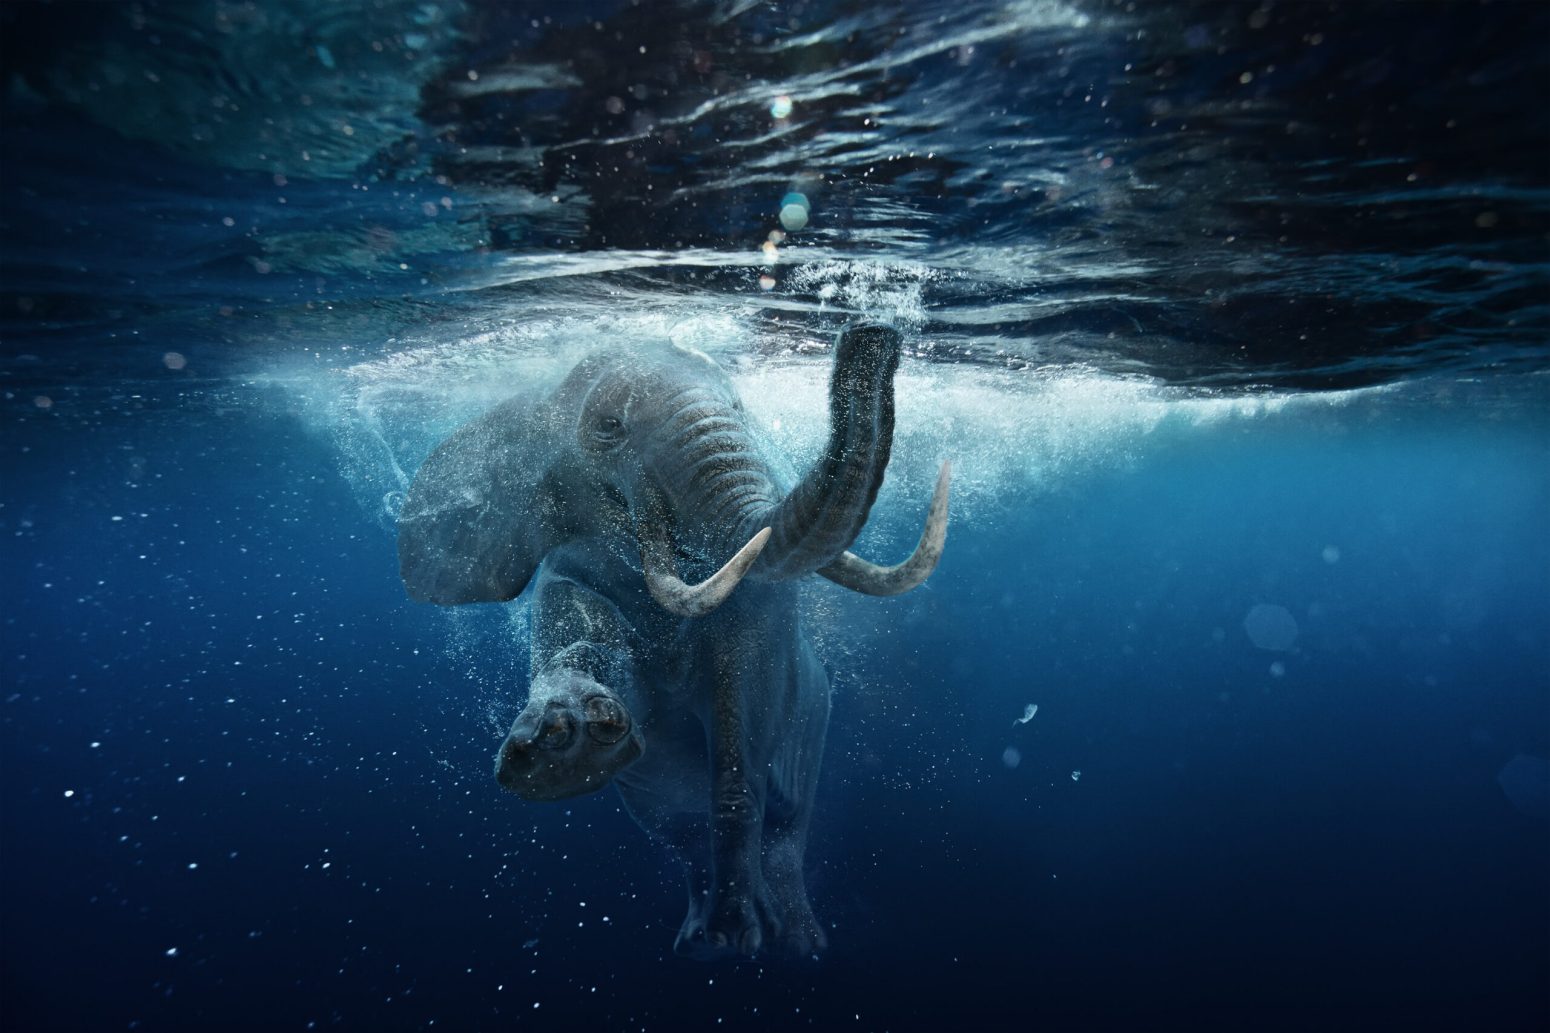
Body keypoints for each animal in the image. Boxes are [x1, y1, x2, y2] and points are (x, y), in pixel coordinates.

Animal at [396, 323, 949, 959]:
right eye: (609, 427)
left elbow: (738, 759)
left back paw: (789, 943)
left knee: (786, 829)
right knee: (681, 833)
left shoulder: (760, 627)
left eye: (738, 408)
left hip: (813, 726)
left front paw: (740, 935)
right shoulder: (568, 571)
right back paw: (698, 943)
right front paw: (561, 748)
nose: (871, 338)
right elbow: (573, 641)